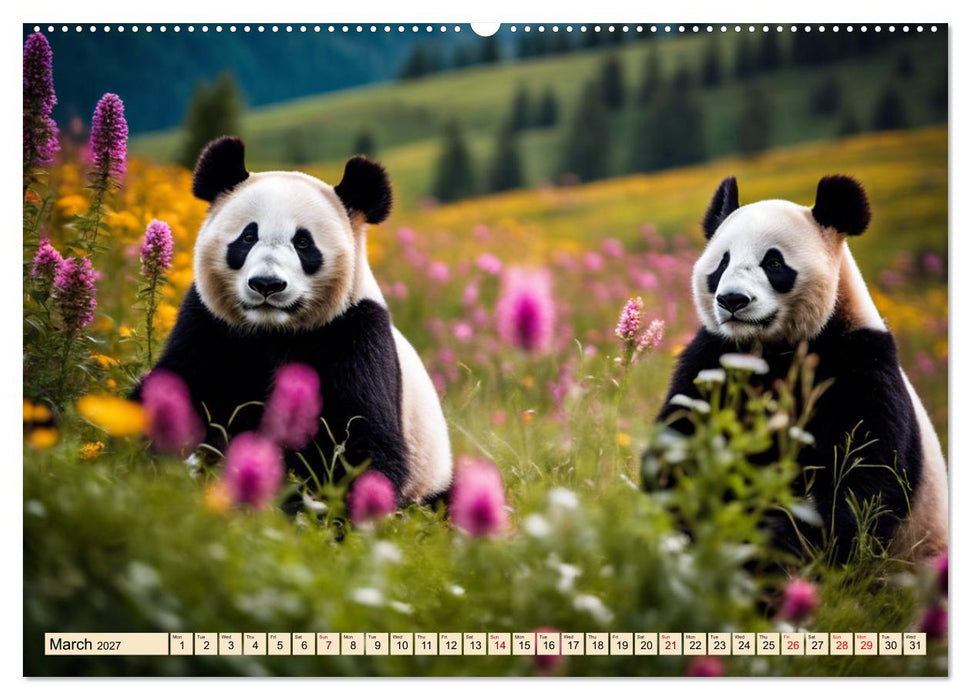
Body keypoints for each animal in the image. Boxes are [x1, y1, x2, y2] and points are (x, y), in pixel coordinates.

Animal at [138, 136, 452, 504]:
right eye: (248, 237)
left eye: (303, 243)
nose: (267, 284)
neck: (273, 331)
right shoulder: (209, 324)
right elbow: (176, 385)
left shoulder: (354, 333)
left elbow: (359, 440)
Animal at [652, 174, 947, 562]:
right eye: (722, 263)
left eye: (774, 263)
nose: (733, 300)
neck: (770, 348)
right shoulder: (713, 357)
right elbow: (680, 436)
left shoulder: (861, 363)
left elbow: (863, 474)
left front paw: (775, 543)